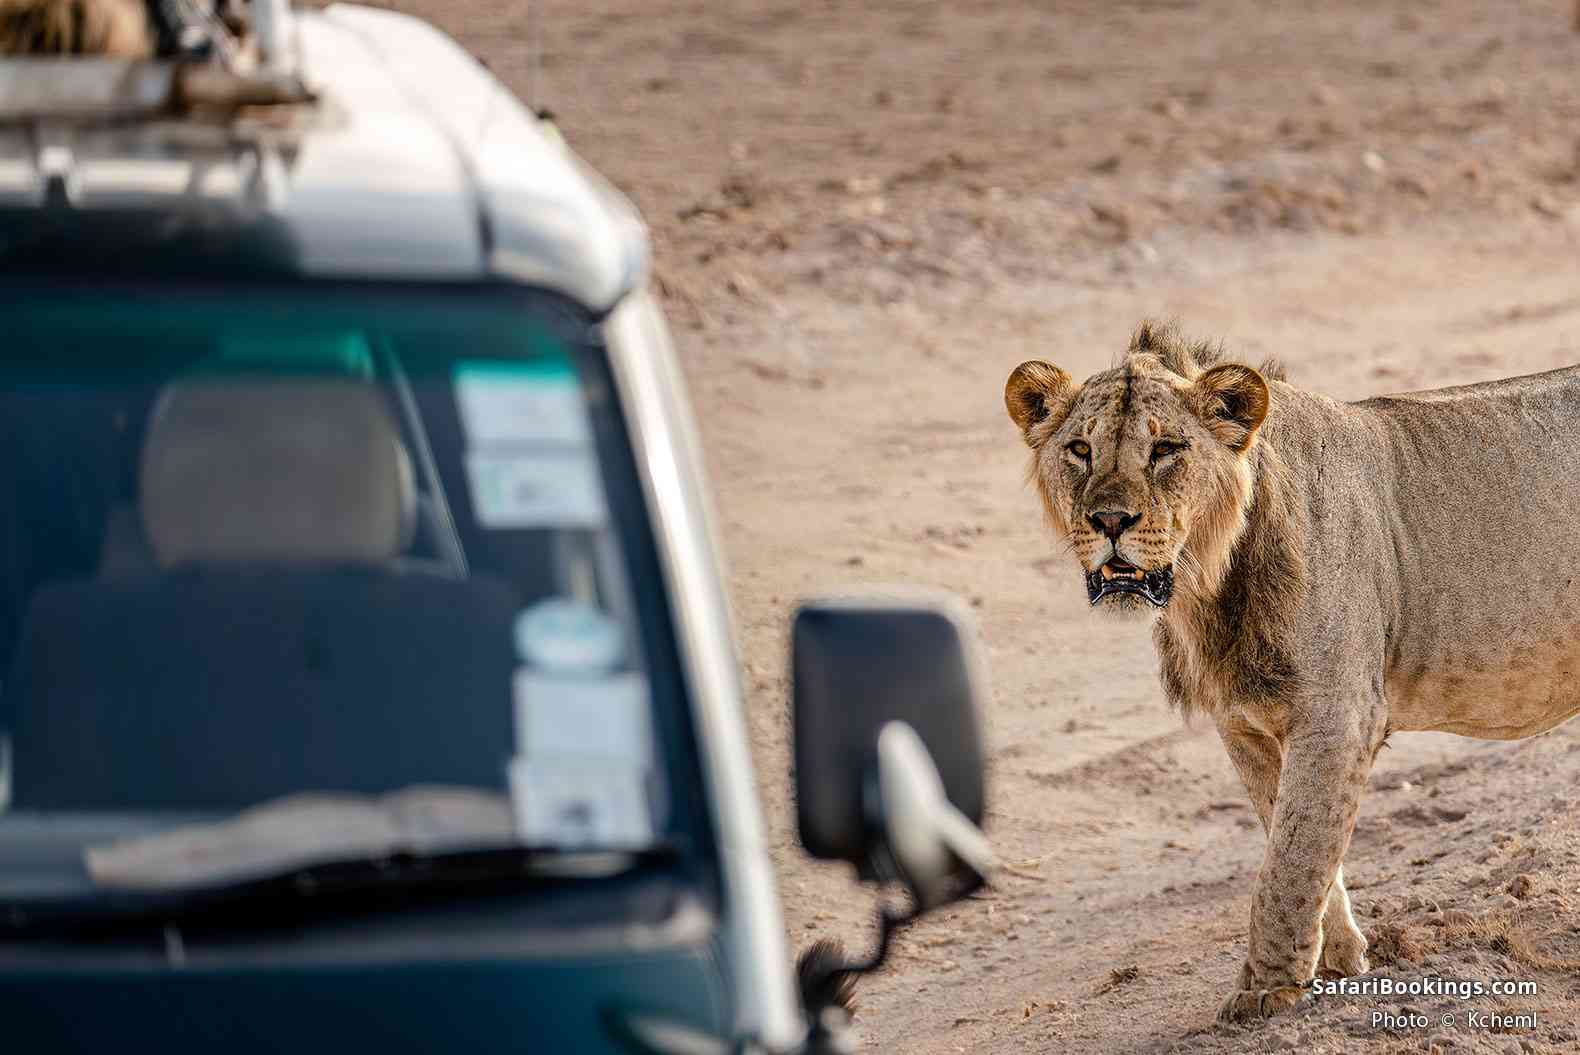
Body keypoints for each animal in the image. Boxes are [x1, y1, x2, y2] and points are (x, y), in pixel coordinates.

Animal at [1005, 322, 1580, 1023]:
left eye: (1165, 449)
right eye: (1081, 450)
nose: (1109, 520)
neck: (1207, 589)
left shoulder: (1338, 718)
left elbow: (1290, 859)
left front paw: (1266, 989)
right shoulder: (1244, 725)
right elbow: (1295, 839)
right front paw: (1337, 960)